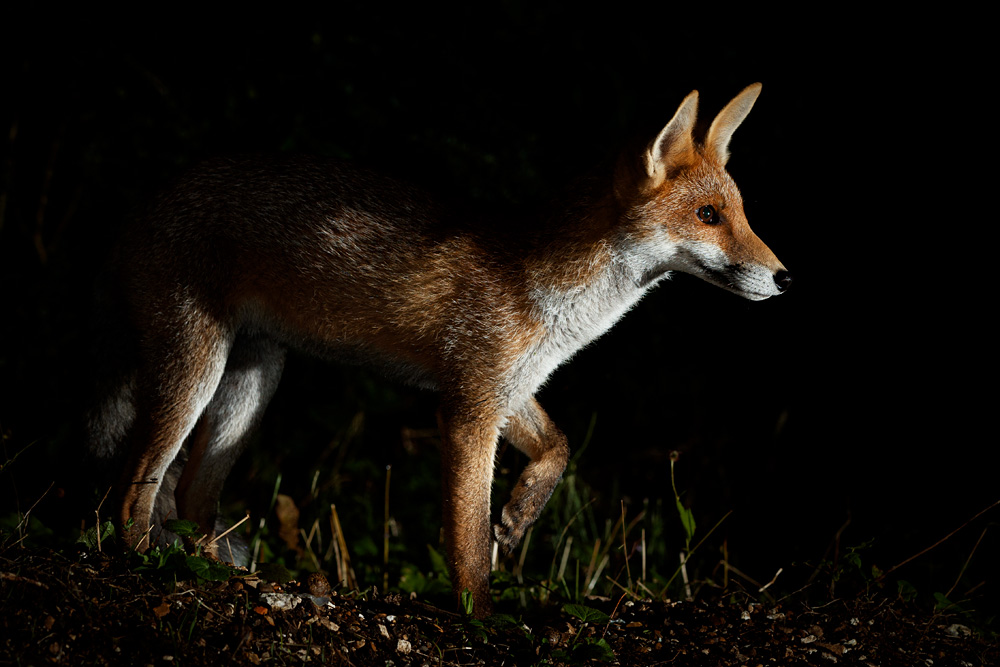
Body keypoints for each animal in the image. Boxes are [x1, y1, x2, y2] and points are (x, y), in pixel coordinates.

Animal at [89, 83, 789, 616]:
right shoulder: (468, 405)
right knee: (132, 488)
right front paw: (483, 614)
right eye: (707, 215)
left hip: (254, 382)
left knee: (192, 498)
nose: (785, 278)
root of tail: (142, 203)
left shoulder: (509, 387)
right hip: (197, 370)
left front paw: (521, 514)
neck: (558, 302)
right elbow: (467, 538)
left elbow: (558, 448)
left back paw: (228, 580)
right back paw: (147, 567)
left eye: (740, 212)